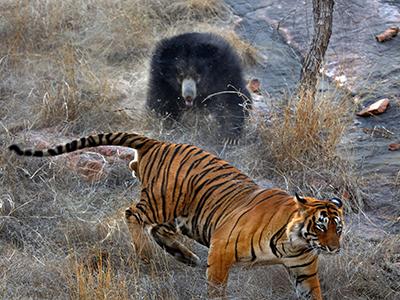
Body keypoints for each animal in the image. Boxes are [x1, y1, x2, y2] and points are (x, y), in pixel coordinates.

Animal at [8, 132, 344, 298]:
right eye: (320, 226)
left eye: (338, 228)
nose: (335, 248)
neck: (295, 242)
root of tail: (157, 142)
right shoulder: (221, 251)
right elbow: (216, 289)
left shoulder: (304, 270)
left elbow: (312, 294)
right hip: (164, 201)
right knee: (132, 214)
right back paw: (146, 256)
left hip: (185, 214)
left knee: (158, 229)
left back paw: (185, 256)